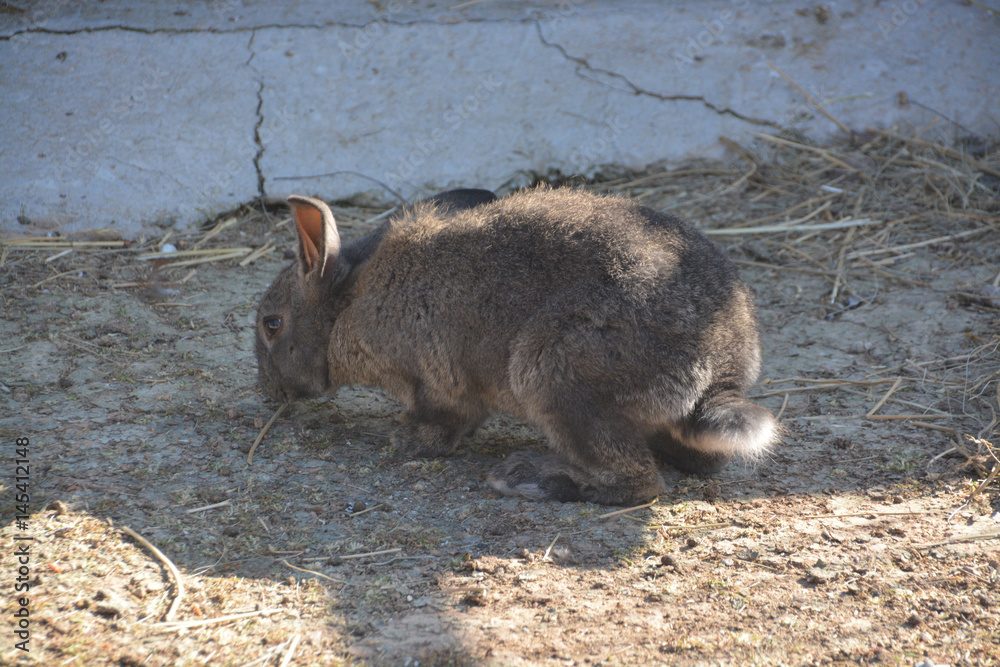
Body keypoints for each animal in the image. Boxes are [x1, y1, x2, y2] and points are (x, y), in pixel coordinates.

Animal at [254, 185, 776, 504]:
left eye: (272, 324)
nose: (268, 392)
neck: (347, 305)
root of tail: (721, 373)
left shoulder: (433, 381)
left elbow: (441, 422)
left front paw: (405, 440)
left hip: (554, 371)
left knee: (636, 481)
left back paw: (531, 477)